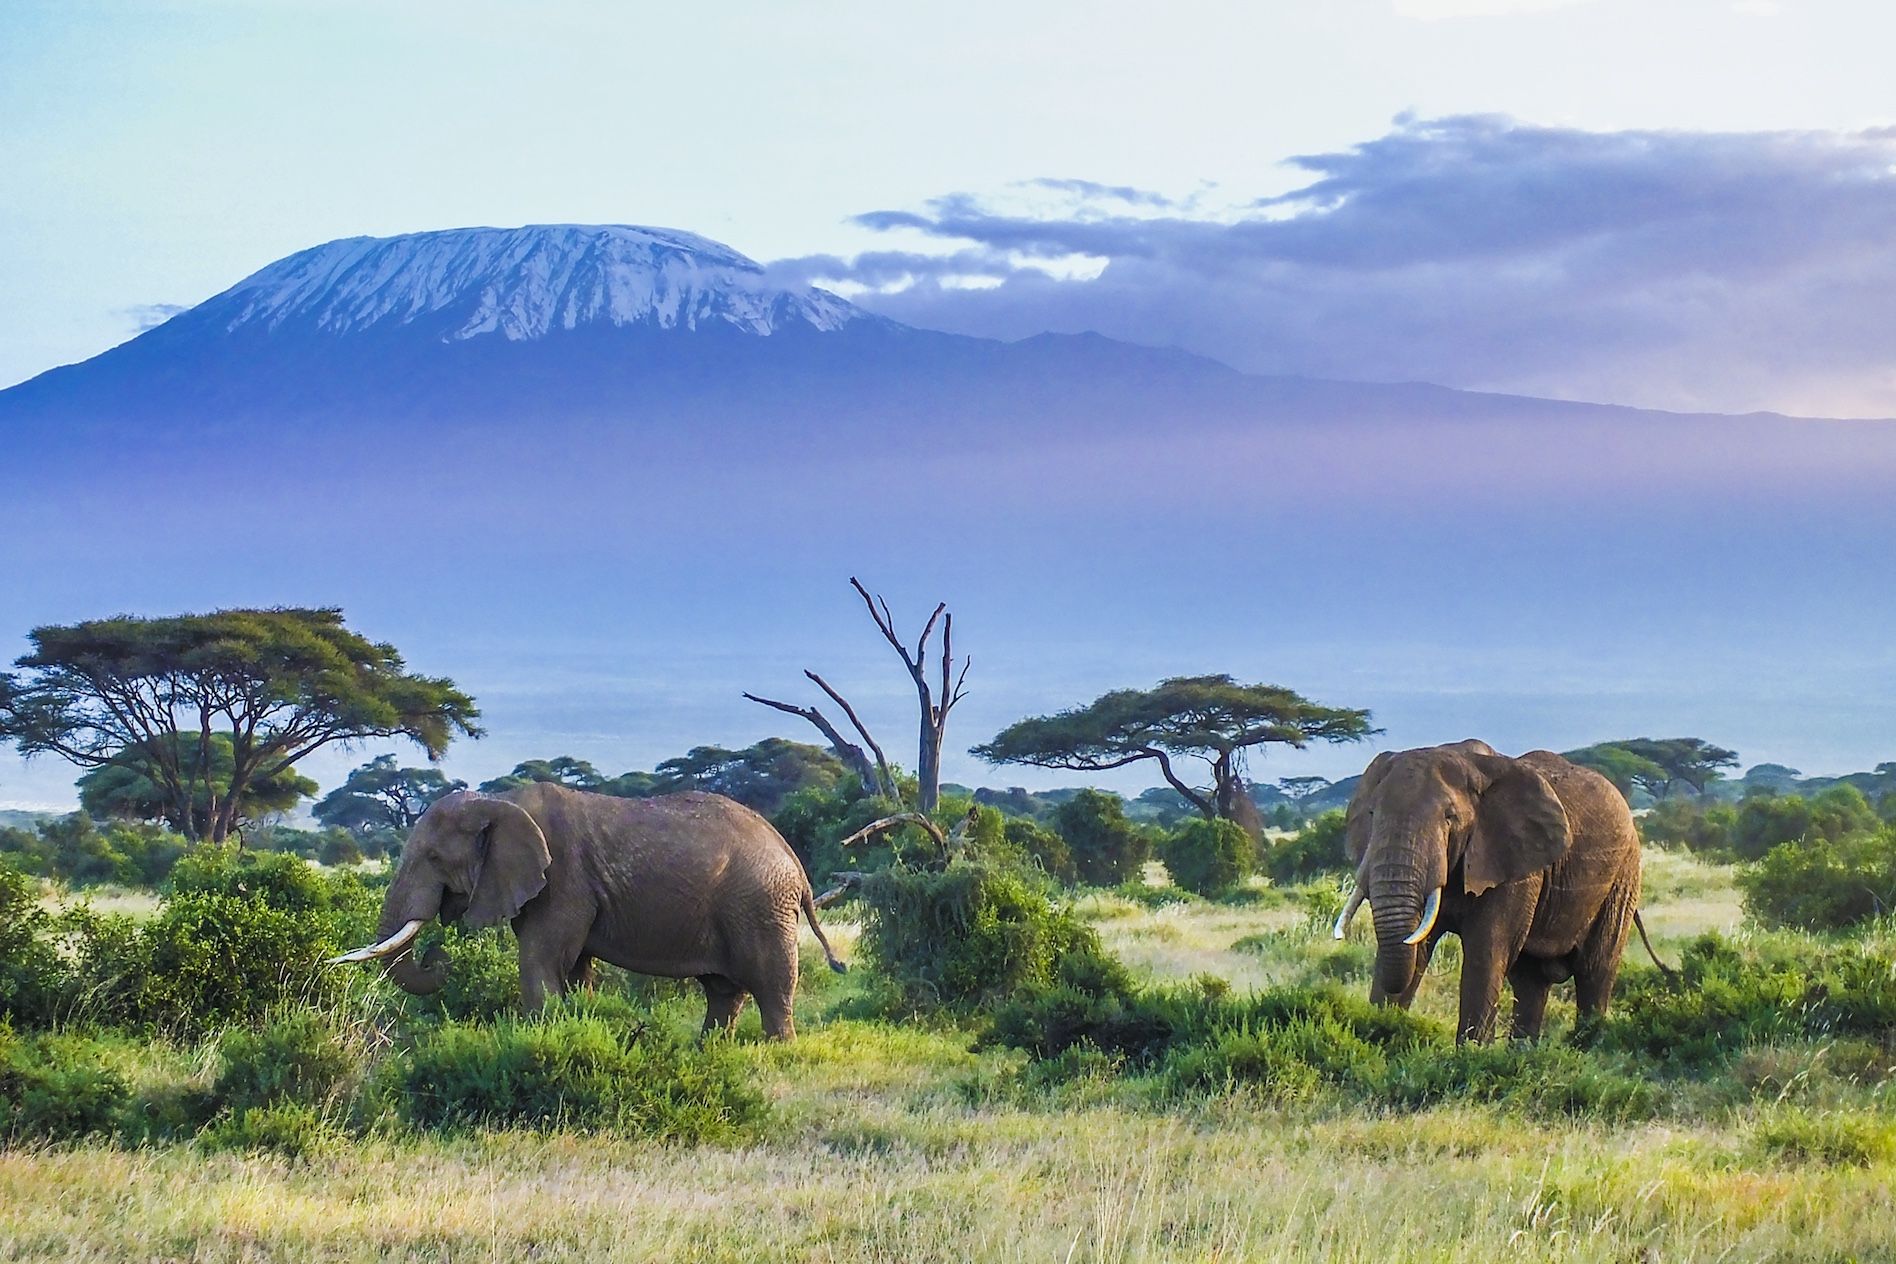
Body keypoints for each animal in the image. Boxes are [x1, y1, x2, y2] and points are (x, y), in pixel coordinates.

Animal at [329, 784, 841, 1046]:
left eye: (434, 857)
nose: (439, 955)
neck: (500, 799)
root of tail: (794, 861)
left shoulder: (562, 879)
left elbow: (542, 960)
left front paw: (540, 1039)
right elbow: (573, 968)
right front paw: (576, 1026)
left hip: (759, 905)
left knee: (770, 983)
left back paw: (778, 1050)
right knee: (723, 990)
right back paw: (709, 1050)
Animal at [1327, 735, 1653, 1046]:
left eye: (1449, 818)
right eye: (1372, 813)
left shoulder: (1513, 862)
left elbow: (1486, 950)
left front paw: (1471, 1055)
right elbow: (1416, 946)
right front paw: (1379, 1037)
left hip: (1623, 876)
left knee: (1594, 971)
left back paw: (1585, 1048)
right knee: (1530, 980)